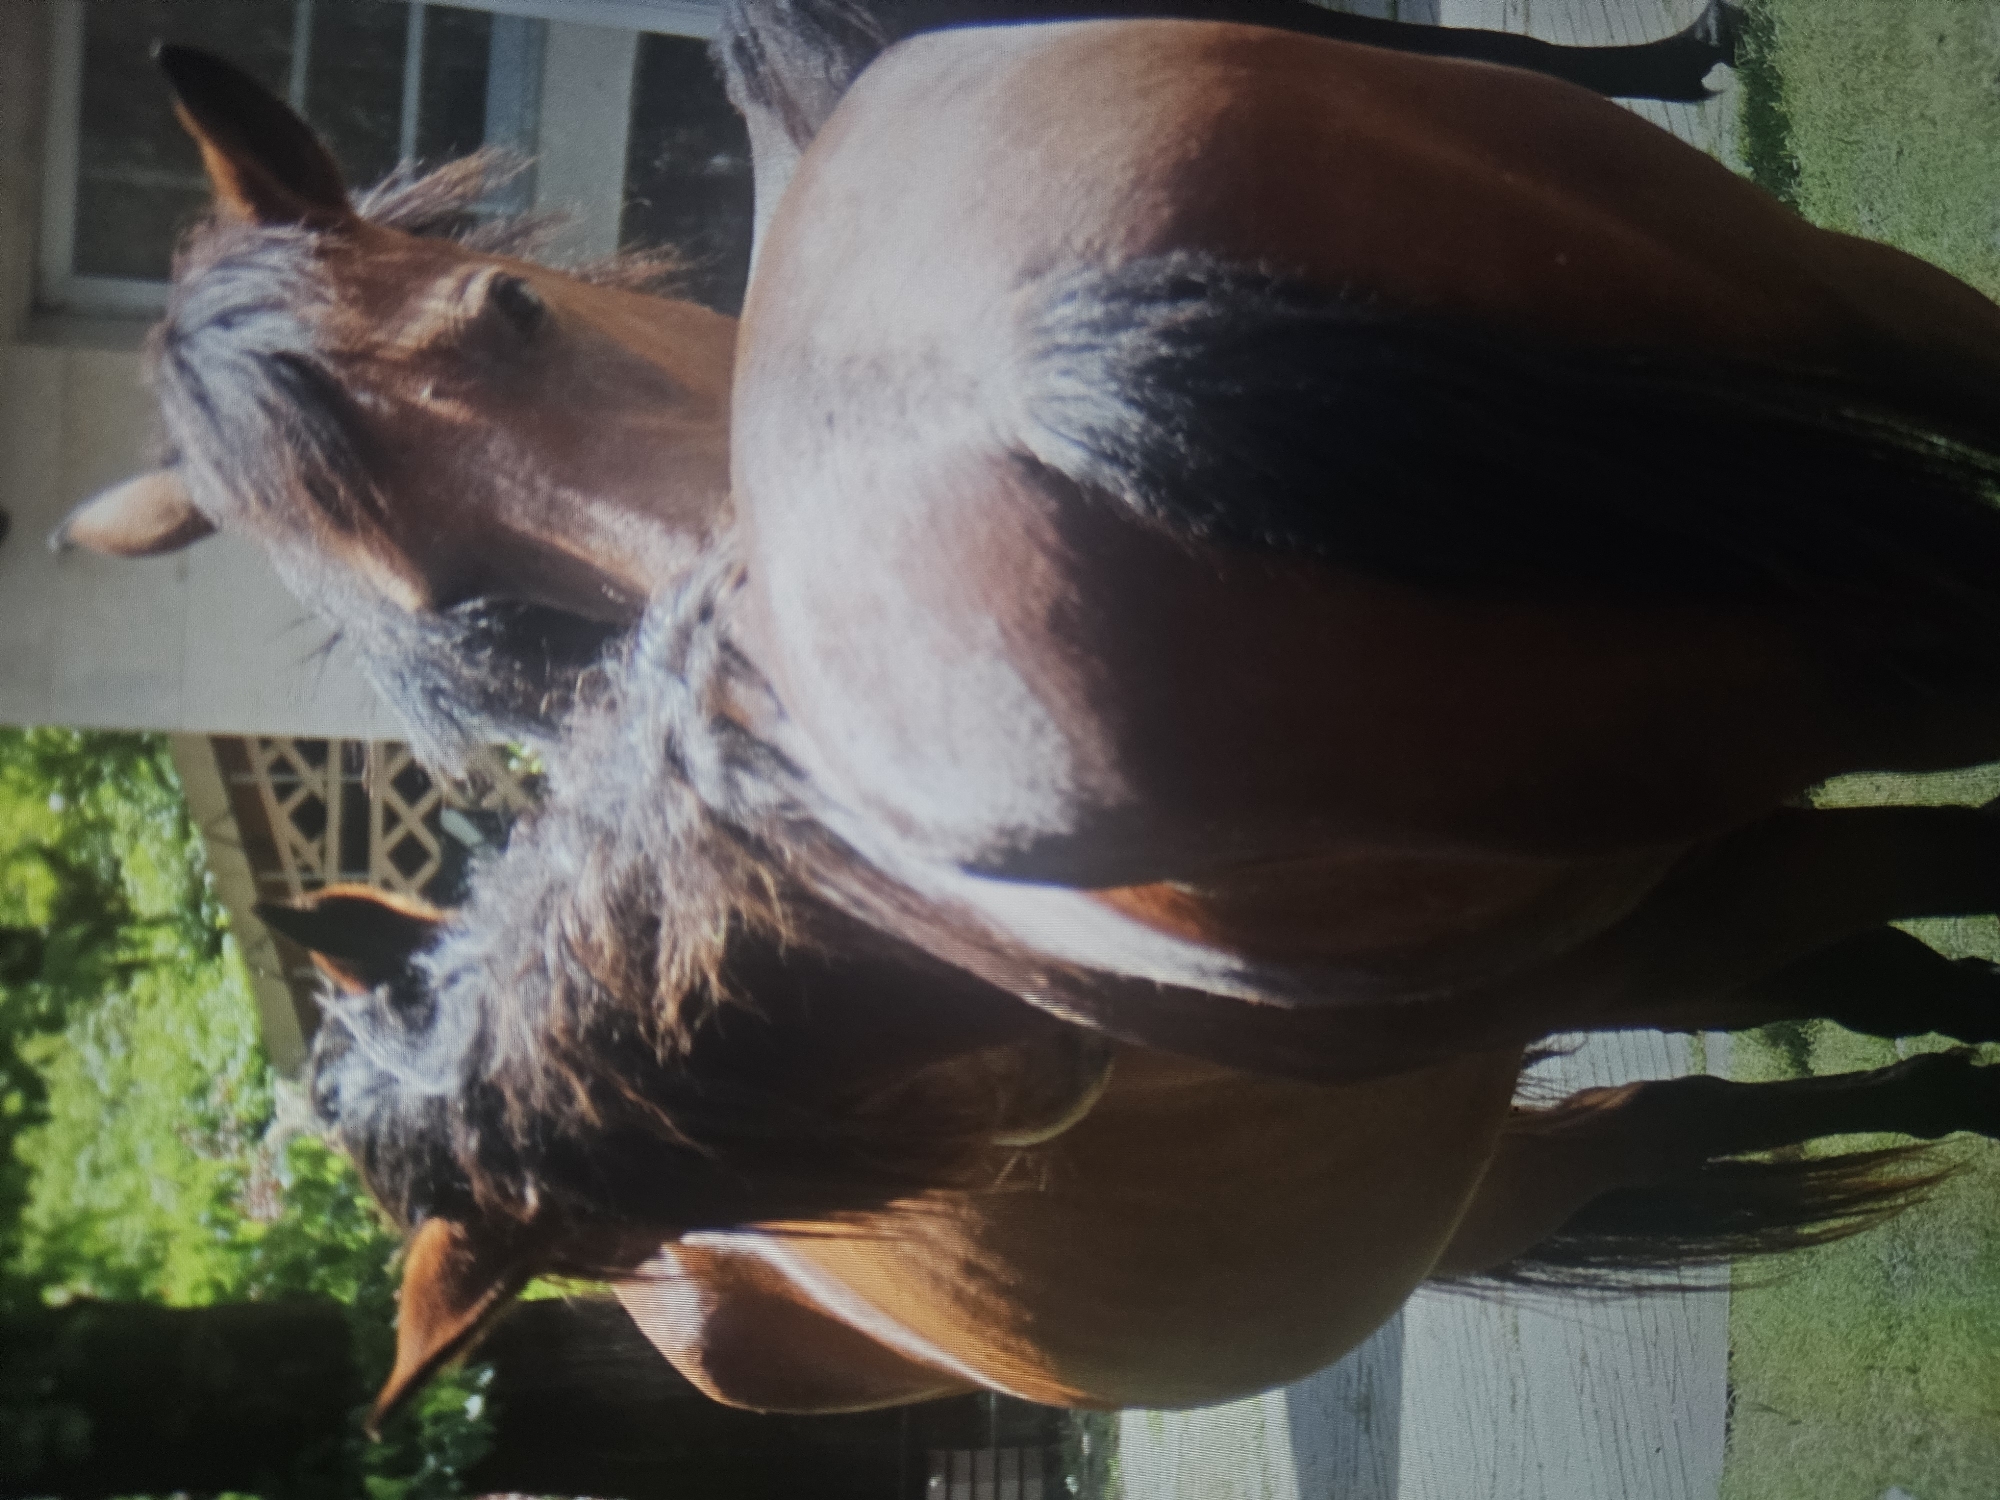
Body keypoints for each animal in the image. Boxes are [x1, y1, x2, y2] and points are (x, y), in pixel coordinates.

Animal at [263, 617, 1999, 1421]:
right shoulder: (1654, 920)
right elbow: (1928, 902)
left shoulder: (1663, 886)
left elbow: (1901, 935)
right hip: (1460, 1184)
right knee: (1666, 1129)